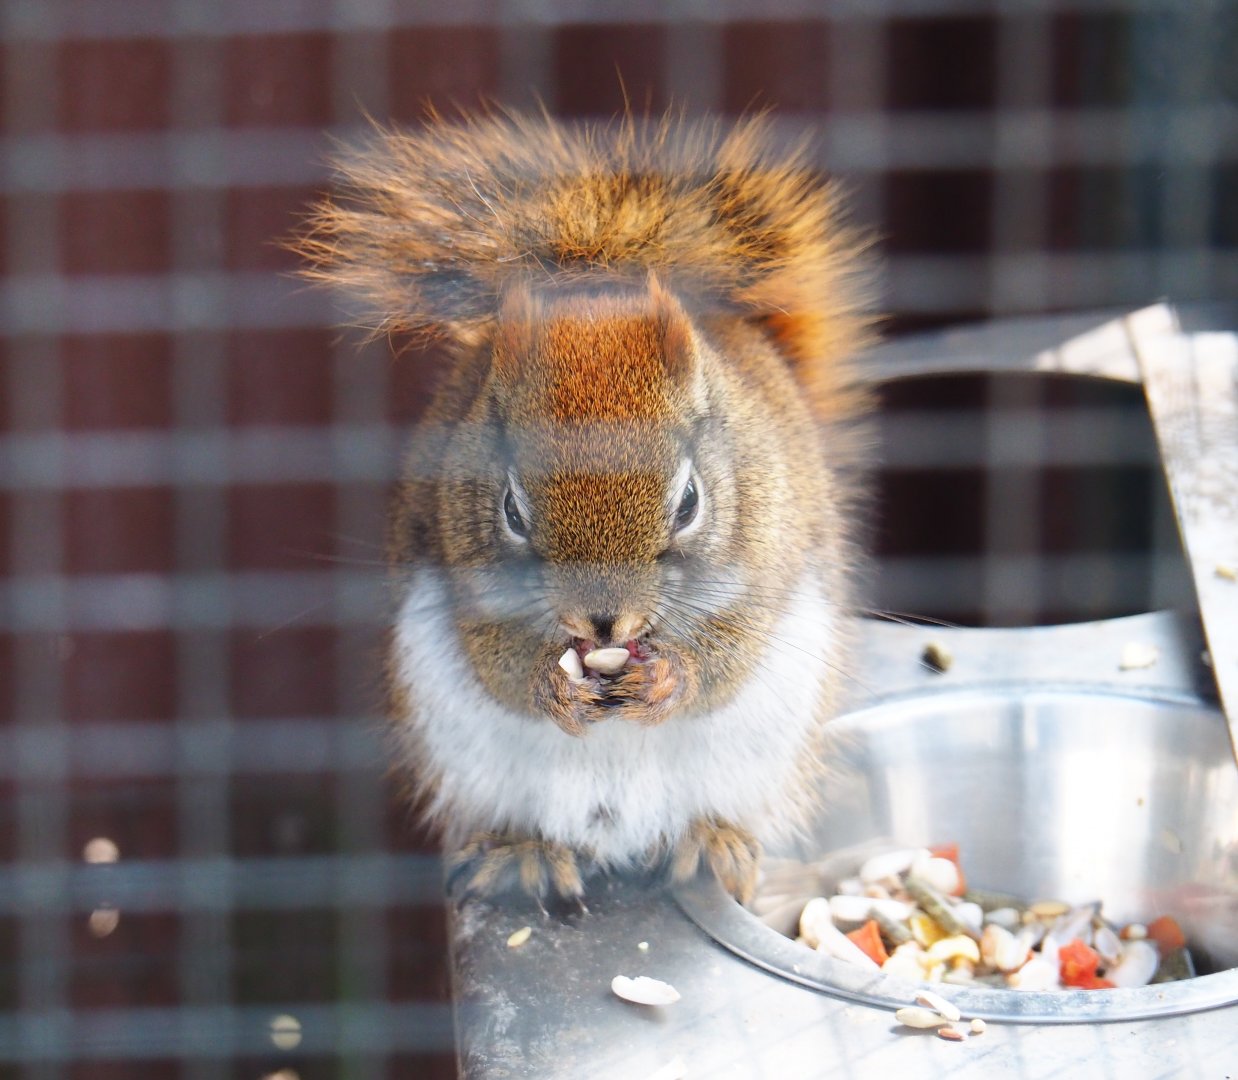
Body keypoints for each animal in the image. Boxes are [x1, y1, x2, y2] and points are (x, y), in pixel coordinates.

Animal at [295, 110, 874, 903]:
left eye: (689, 501)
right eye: (511, 509)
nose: (603, 622)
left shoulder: (769, 548)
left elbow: (731, 650)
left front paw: (670, 676)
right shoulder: (463, 568)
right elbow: (497, 660)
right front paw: (549, 685)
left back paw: (711, 840)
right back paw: (527, 851)